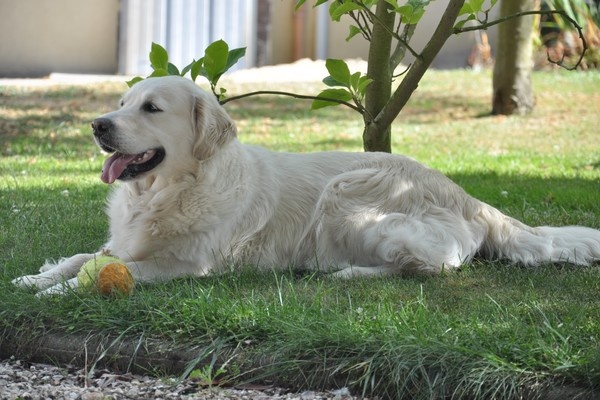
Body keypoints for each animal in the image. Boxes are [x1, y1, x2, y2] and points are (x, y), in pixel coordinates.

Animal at [12, 76, 600, 294]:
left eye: (151, 108)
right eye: (123, 101)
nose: (98, 125)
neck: (167, 189)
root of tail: (470, 197)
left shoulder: (184, 265)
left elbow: (116, 272)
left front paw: (60, 290)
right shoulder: (123, 239)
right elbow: (80, 257)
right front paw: (32, 278)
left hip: (348, 197)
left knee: (435, 264)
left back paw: (347, 272)